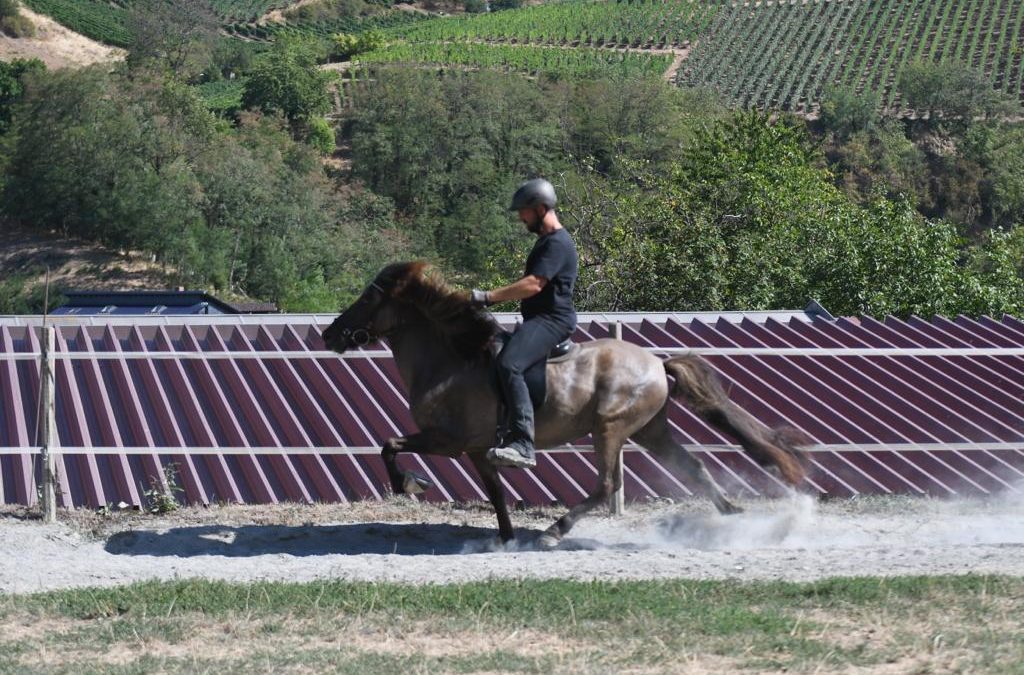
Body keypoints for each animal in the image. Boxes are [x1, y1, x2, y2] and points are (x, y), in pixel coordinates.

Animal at [319, 261, 806, 544]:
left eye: (369, 298)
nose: (330, 335)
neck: (452, 359)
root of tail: (656, 362)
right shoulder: (476, 448)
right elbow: (496, 492)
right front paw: (506, 538)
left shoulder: (448, 440)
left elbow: (389, 445)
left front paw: (410, 484)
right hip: (651, 430)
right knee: (694, 467)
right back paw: (734, 518)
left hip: (609, 429)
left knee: (607, 486)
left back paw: (555, 531)